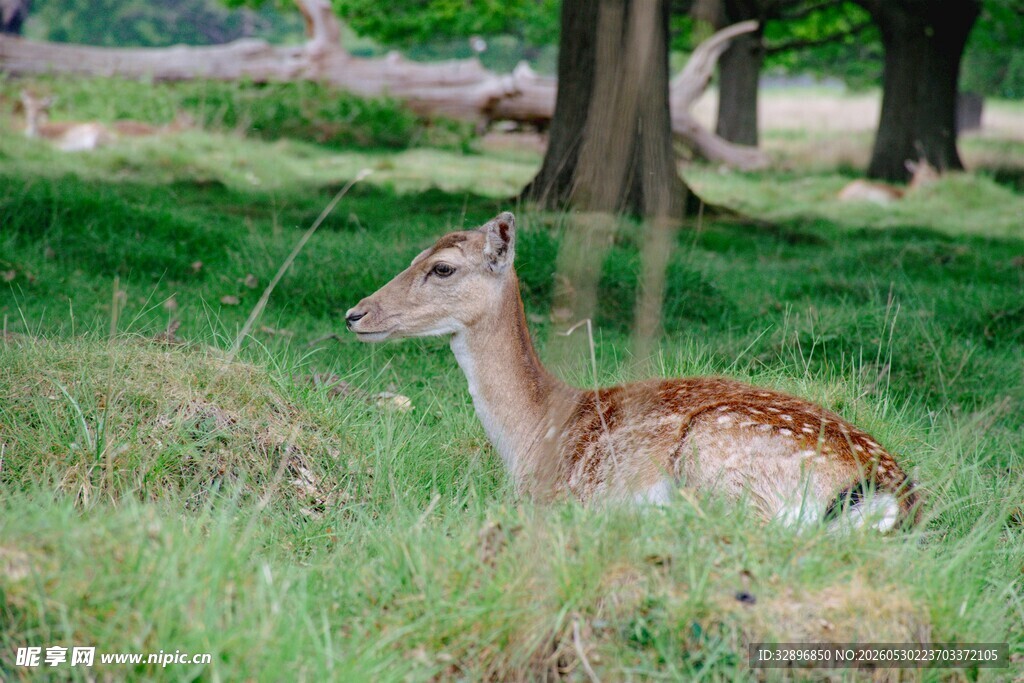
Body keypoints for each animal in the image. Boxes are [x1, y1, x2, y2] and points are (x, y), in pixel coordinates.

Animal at [345, 213, 920, 531]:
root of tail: (886, 493)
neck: (529, 435)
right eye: (415, 255)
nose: (356, 314)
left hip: (721, 458)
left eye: (442, 267)